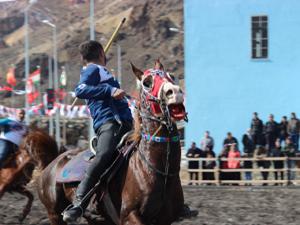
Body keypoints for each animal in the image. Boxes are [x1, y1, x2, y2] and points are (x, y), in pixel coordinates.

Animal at [36, 60, 186, 225]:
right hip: (54, 214)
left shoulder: (166, 219)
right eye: (147, 82)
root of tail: (52, 163)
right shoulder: (129, 216)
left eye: (171, 76)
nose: (175, 92)